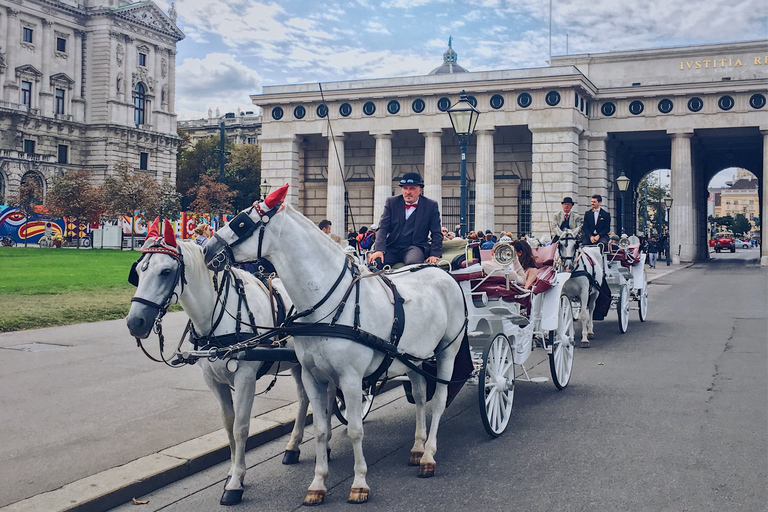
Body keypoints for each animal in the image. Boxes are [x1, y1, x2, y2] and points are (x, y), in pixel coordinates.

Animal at [124, 222, 310, 506]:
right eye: (137, 272)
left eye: (166, 271)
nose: (135, 322)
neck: (217, 317)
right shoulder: (213, 381)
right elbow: (228, 425)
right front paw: (234, 472)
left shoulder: (245, 379)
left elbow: (241, 428)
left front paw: (235, 484)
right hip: (298, 364)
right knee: (305, 399)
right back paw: (293, 447)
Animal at [204, 186, 464, 506]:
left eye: (241, 221)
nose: (206, 250)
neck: (327, 303)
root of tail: (440, 269)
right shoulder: (312, 376)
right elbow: (320, 429)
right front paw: (317, 483)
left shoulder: (351, 380)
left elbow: (354, 430)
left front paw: (360, 483)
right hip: (414, 357)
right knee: (418, 395)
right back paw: (417, 447)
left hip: (447, 352)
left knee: (438, 401)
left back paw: (428, 455)